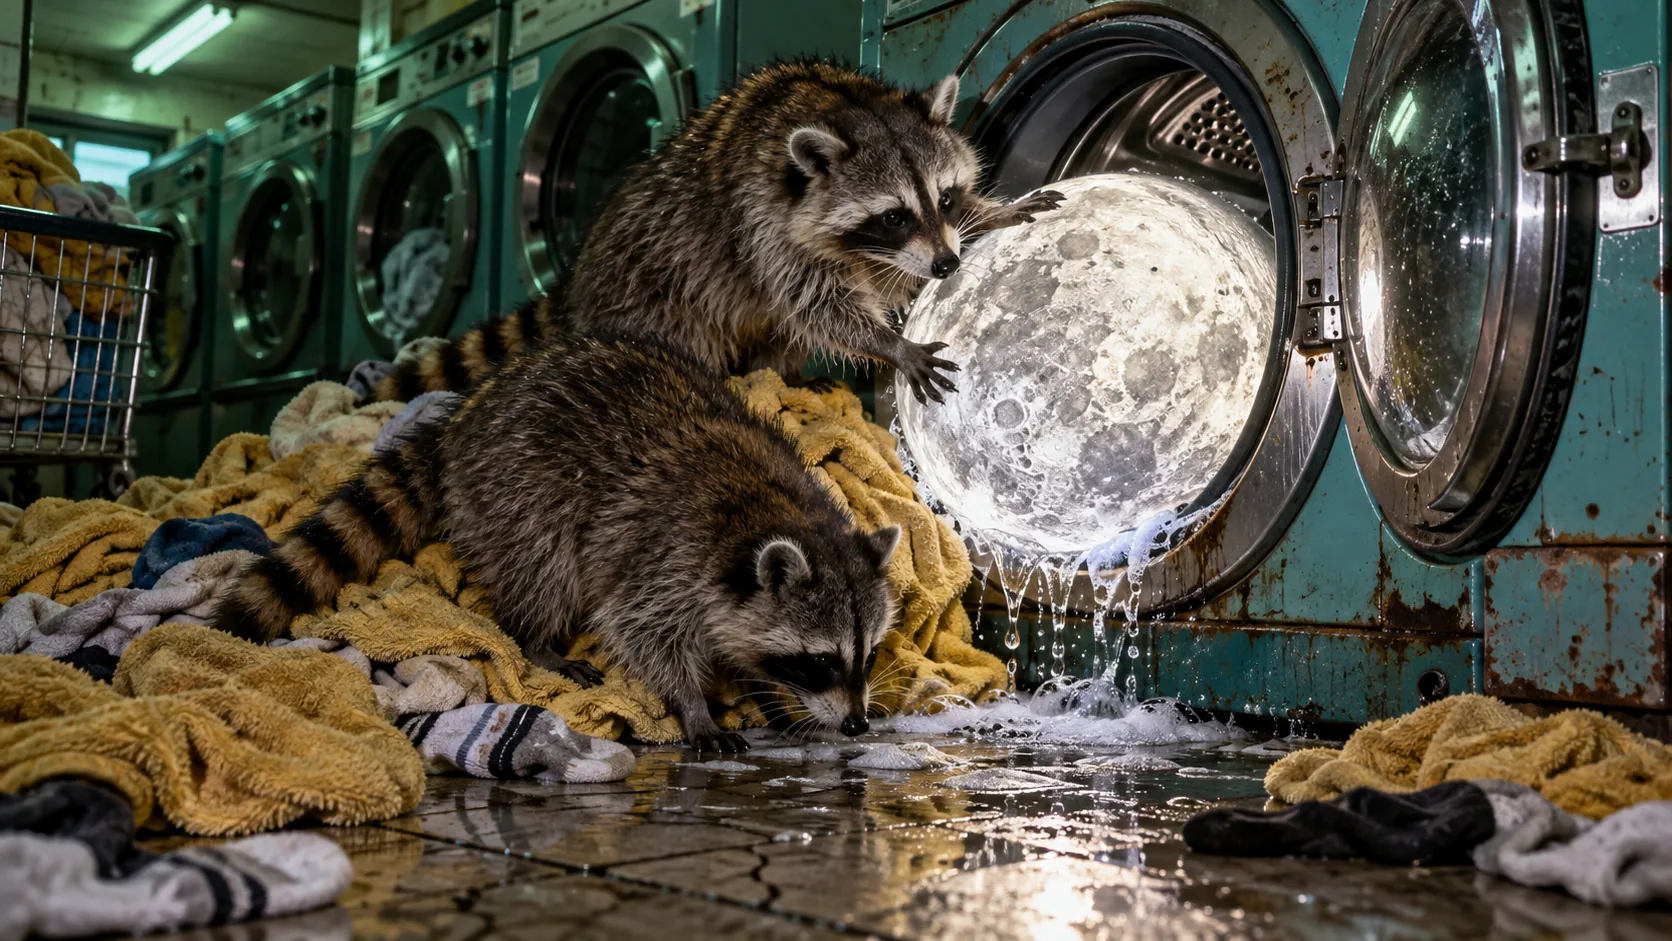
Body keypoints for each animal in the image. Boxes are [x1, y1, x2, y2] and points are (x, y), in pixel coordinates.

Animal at [215, 334, 901, 752]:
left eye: (868, 656)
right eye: (822, 660)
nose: (859, 723)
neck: (778, 511)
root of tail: (467, 413)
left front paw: (764, 690)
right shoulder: (665, 555)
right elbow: (641, 631)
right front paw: (694, 702)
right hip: (518, 482)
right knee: (542, 562)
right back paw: (537, 637)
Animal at [372, 62, 1063, 404]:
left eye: (944, 197)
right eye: (893, 216)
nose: (947, 266)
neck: (842, 101)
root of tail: (580, 278)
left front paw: (986, 214)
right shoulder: (764, 223)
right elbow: (817, 304)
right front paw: (889, 345)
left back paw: (778, 374)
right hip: (653, 294)